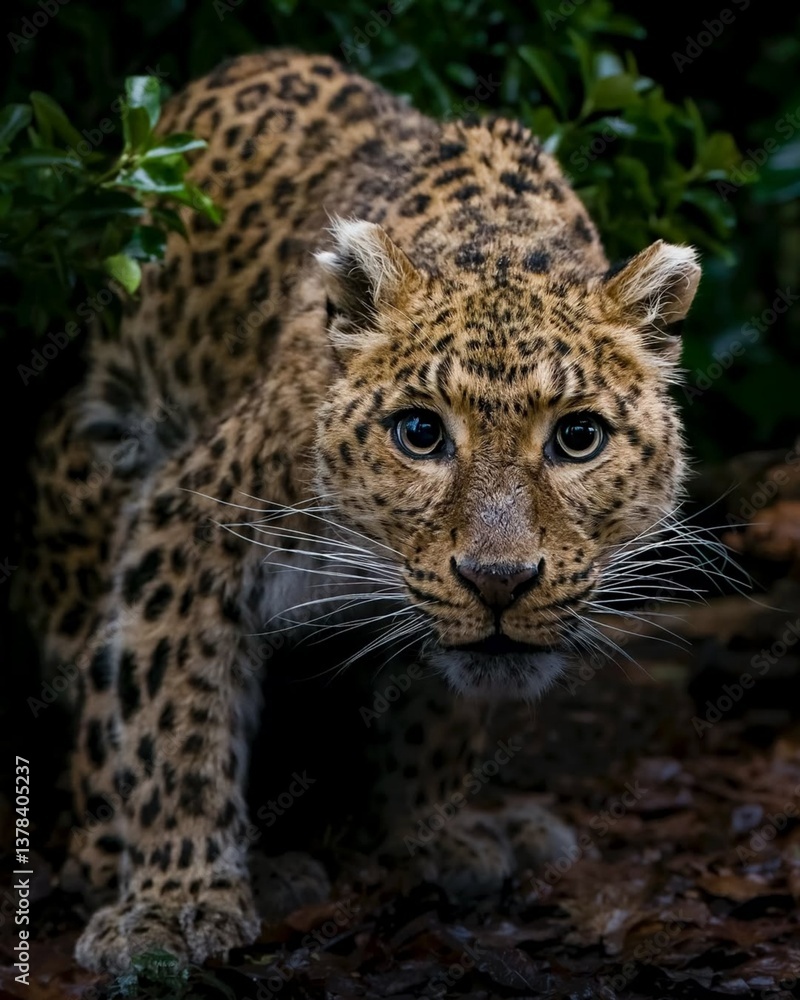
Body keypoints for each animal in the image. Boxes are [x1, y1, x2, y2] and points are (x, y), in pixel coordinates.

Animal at [14, 49, 703, 973]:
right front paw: (174, 903)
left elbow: (438, 709)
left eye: (579, 437)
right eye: (419, 433)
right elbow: (173, 719)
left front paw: (430, 832)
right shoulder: (187, 522)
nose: (500, 582)